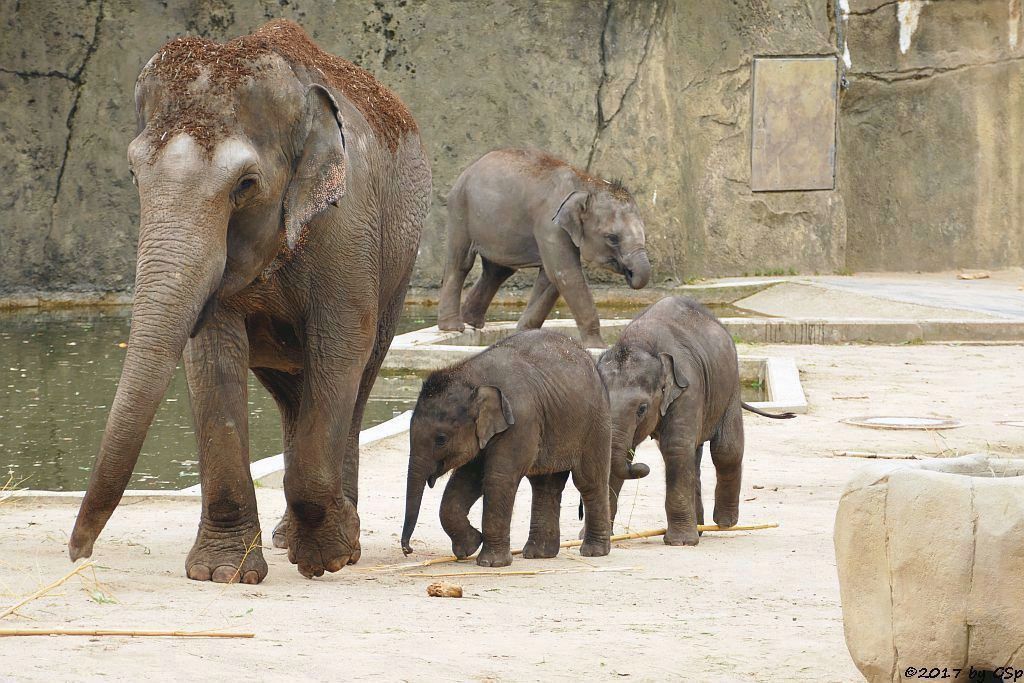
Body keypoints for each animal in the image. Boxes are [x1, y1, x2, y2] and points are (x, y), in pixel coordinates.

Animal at [65, 22, 432, 589]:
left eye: (245, 184)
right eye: (133, 175)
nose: (78, 554)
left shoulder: (348, 227)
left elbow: (342, 345)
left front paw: (323, 559)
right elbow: (211, 357)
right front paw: (222, 574)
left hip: (398, 268)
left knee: (359, 377)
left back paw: (343, 543)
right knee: (291, 393)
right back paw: (287, 536)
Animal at [399, 329, 610, 565]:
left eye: (441, 439)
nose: (408, 550)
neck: (472, 376)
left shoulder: (520, 419)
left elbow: (497, 478)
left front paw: (490, 563)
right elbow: (467, 478)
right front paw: (470, 546)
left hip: (596, 423)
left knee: (589, 481)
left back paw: (594, 551)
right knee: (545, 485)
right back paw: (538, 554)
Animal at [434, 145, 647, 348]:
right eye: (612, 238)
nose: (630, 273)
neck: (587, 183)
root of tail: (469, 169)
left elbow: (551, 277)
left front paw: (524, 332)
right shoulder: (550, 225)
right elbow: (565, 274)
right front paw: (598, 346)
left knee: (497, 271)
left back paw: (472, 322)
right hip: (460, 210)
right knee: (461, 263)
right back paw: (454, 327)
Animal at [598, 296, 794, 548]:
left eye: (642, 409)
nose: (643, 468)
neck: (641, 342)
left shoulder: (689, 387)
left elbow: (676, 447)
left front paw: (680, 543)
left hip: (730, 385)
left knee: (726, 450)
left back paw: (725, 523)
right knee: (695, 456)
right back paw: (700, 527)